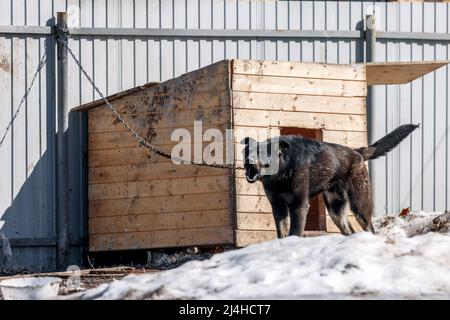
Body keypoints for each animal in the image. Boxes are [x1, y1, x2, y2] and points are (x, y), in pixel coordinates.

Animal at [243, 124, 418, 238]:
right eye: (247, 152)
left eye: (262, 154)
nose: (248, 163)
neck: (282, 169)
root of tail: (357, 152)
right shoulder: (278, 206)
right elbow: (282, 232)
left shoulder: (299, 205)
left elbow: (295, 231)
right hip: (335, 211)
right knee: (349, 231)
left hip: (359, 206)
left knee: (369, 229)